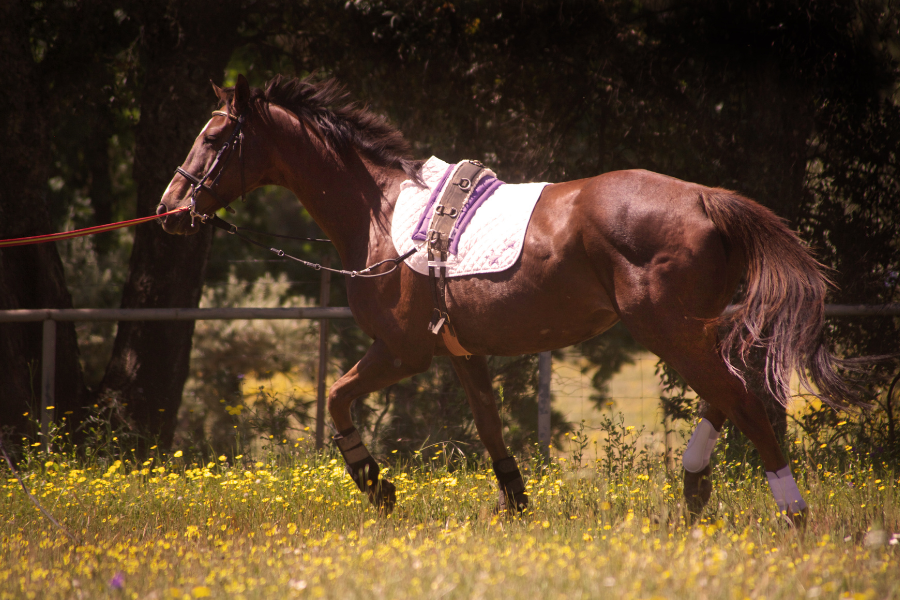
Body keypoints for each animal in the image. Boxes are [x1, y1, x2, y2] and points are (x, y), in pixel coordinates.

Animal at [157, 74, 864, 523]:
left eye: (215, 140)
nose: (168, 209)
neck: (378, 214)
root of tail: (705, 197)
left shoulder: (403, 352)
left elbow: (335, 397)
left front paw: (376, 485)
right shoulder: (460, 352)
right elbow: (490, 424)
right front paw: (515, 502)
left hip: (668, 330)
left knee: (742, 398)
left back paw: (791, 512)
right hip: (695, 329)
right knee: (734, 388)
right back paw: (695, 484)